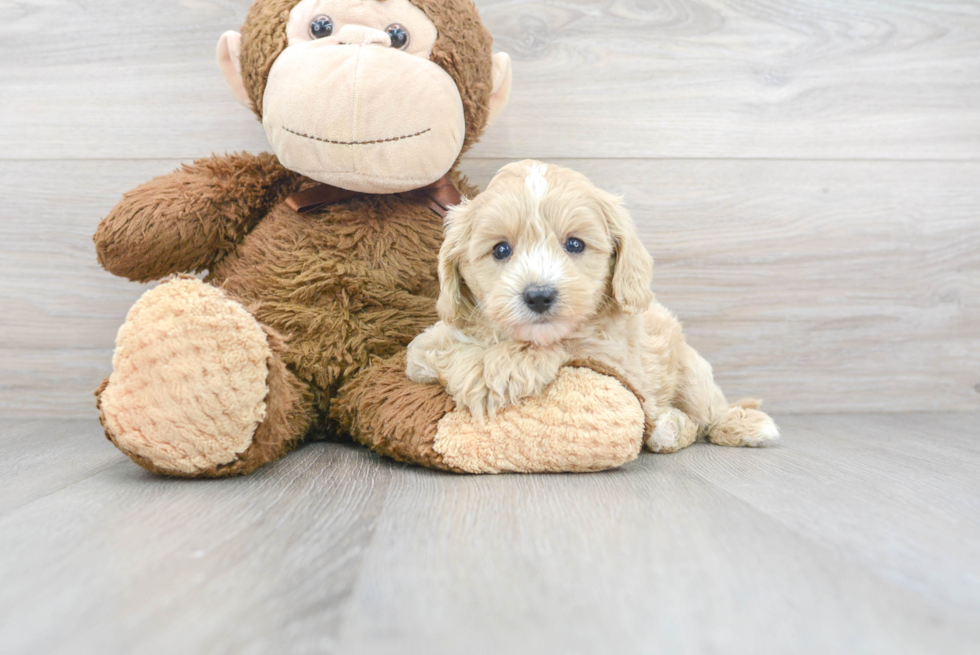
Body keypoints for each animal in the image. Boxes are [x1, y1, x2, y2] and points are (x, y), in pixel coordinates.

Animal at [406, 161, 780, 454]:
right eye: (500, 250)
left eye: (574, 244)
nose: (539, 296)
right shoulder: (426, 348)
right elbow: (433, 350)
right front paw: (477, 368)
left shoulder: (612, 354)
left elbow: (568, 342)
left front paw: (500, 368)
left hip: (692, 372)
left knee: (709, 415)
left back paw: (737, 425)